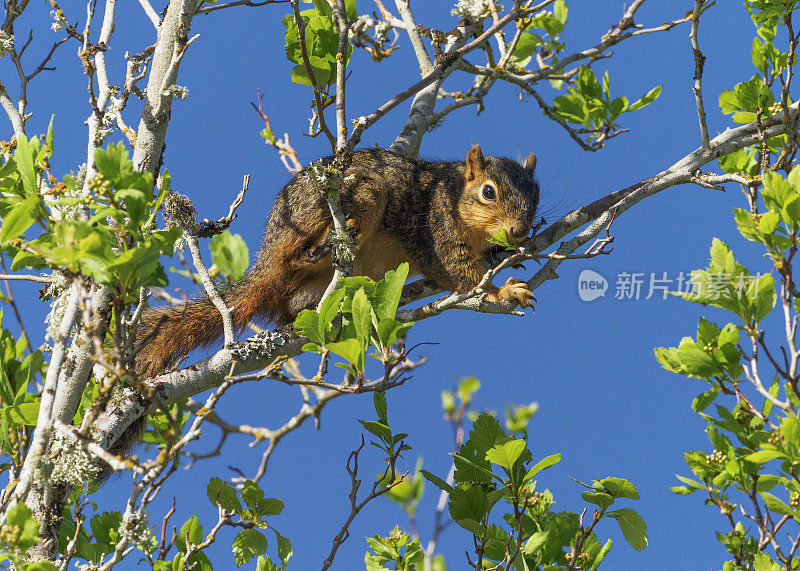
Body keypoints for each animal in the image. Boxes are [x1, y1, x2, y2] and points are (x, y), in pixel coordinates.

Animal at [136, 144, 536, 380]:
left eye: (536, 196)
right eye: (488, 192)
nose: (519, 230)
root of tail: (266, 257)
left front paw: (509, 258)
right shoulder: (437, 231)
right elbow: (460, 272)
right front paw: (503, 291)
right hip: (352, 196)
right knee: (295, 256)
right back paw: (327, 246)